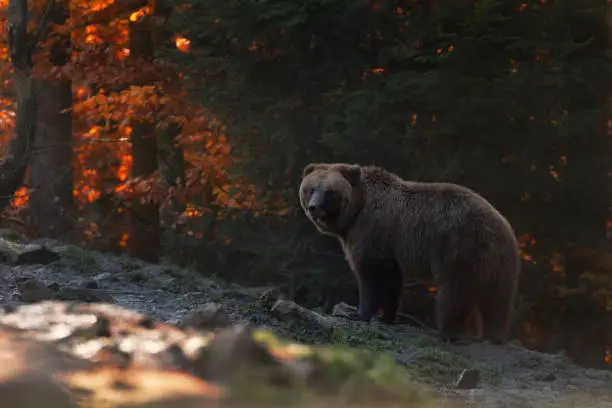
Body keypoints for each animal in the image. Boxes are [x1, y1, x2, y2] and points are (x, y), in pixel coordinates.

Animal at [298, 163, 520, 344]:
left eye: (330, 191)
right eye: (310, 189)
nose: (314, 207)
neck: (356, 211)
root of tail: (500, 225)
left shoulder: (372, 232)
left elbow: (370, 276)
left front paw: (359, 313)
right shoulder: (391, 249)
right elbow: (392, 281)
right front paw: (387, 316)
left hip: (458, 249)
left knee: (454, 292)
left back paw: (446, 332)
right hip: (501, 263)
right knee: (498, 301)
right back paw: (494, 335)